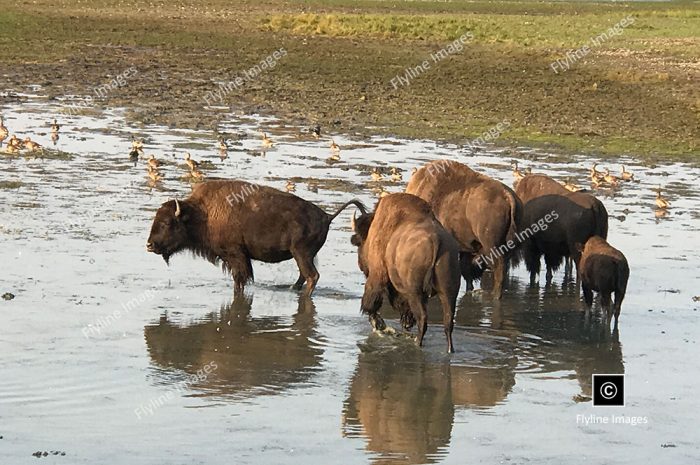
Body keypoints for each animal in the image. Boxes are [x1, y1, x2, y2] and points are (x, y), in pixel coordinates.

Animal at [148, 179, 366, 296]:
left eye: (166, 223)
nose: (150, 245)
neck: (202, 214)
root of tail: (326, 216)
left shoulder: (236, 256)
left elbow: (240, 280)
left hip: (301, 253)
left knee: (312, 276)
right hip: (303, 256)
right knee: (304, 276)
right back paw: (291, 289)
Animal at [348, 192, 460, 352]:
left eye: (360, 244)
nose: (361, 265)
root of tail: (436, 239)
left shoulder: (377, 274)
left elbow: (371, 303)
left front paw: (379, 325)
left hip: (416, 293)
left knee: (422, 319)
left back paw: (417, 342)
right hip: (448, 292)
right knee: (448, 323)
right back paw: (449, 350)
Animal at [404, 159, 520, 298]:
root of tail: (507, 195)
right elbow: (466, 269)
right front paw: (469, 289)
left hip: (492, 245)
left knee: (499, 269)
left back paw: (495, 295)